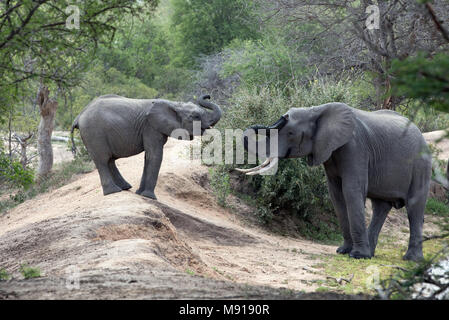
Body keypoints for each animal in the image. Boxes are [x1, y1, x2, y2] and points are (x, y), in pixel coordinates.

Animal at [70, 94, 222, 200]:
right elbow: (155, 155)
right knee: (102, 160)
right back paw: (114, 191)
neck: (173, 104)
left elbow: (148, 157)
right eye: (195, 116)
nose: (208, 96)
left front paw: (140, 194)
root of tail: (78, 116)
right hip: (94, 133)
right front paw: (149, 197)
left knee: (109, 160)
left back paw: (125, 188)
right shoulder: (151, 127)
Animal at [238, 104, 430, 262]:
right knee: (380, 207)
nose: (283, 116)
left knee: (414, 208)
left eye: (291, 133)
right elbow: (336, 195)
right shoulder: (330, 151)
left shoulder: (355, 147)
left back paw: (411, 260)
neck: (316, 110)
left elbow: (351, 191)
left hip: (421, 166)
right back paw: (372, 254)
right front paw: (343, 251)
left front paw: (357, 256)